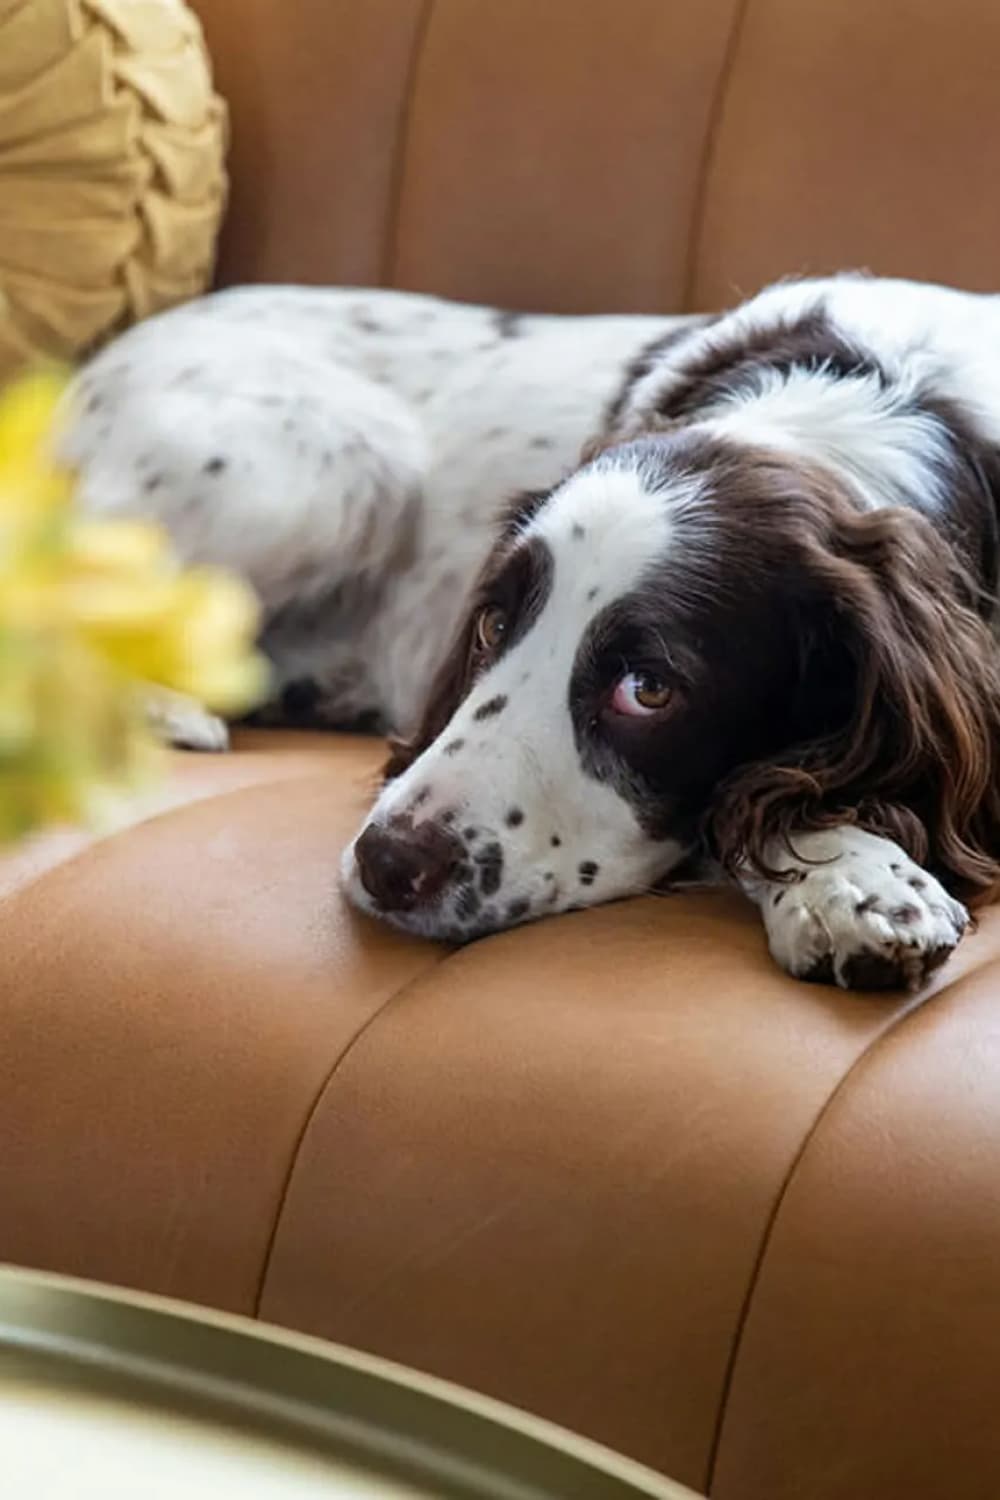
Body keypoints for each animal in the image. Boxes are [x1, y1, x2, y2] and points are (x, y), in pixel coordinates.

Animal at [62, 276, 1000, 990]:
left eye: (649, 690)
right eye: (491, 623)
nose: (387, 863)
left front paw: (851, 879)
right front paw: (853, 881)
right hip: (341, 464)